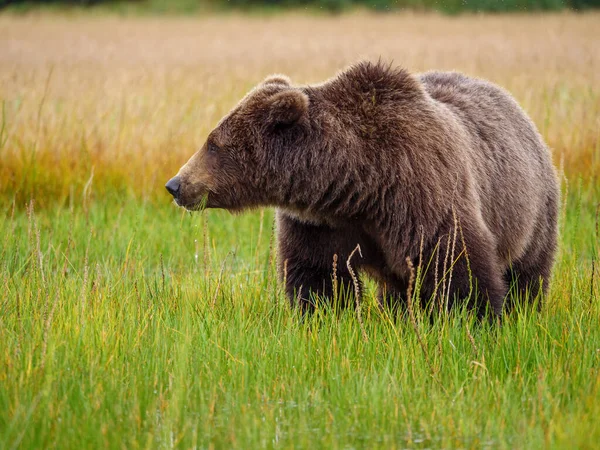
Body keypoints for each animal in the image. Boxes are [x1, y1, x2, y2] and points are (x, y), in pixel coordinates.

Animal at [164, 61, 556, 318]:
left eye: (213, 144)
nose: (175, 184)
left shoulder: (422, 194)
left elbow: (455, 264)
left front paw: (472, 318)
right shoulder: (319, 223)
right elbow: (318, 275)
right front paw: (322, 316)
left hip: (531, 207)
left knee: (527, 270)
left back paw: (524, 309)